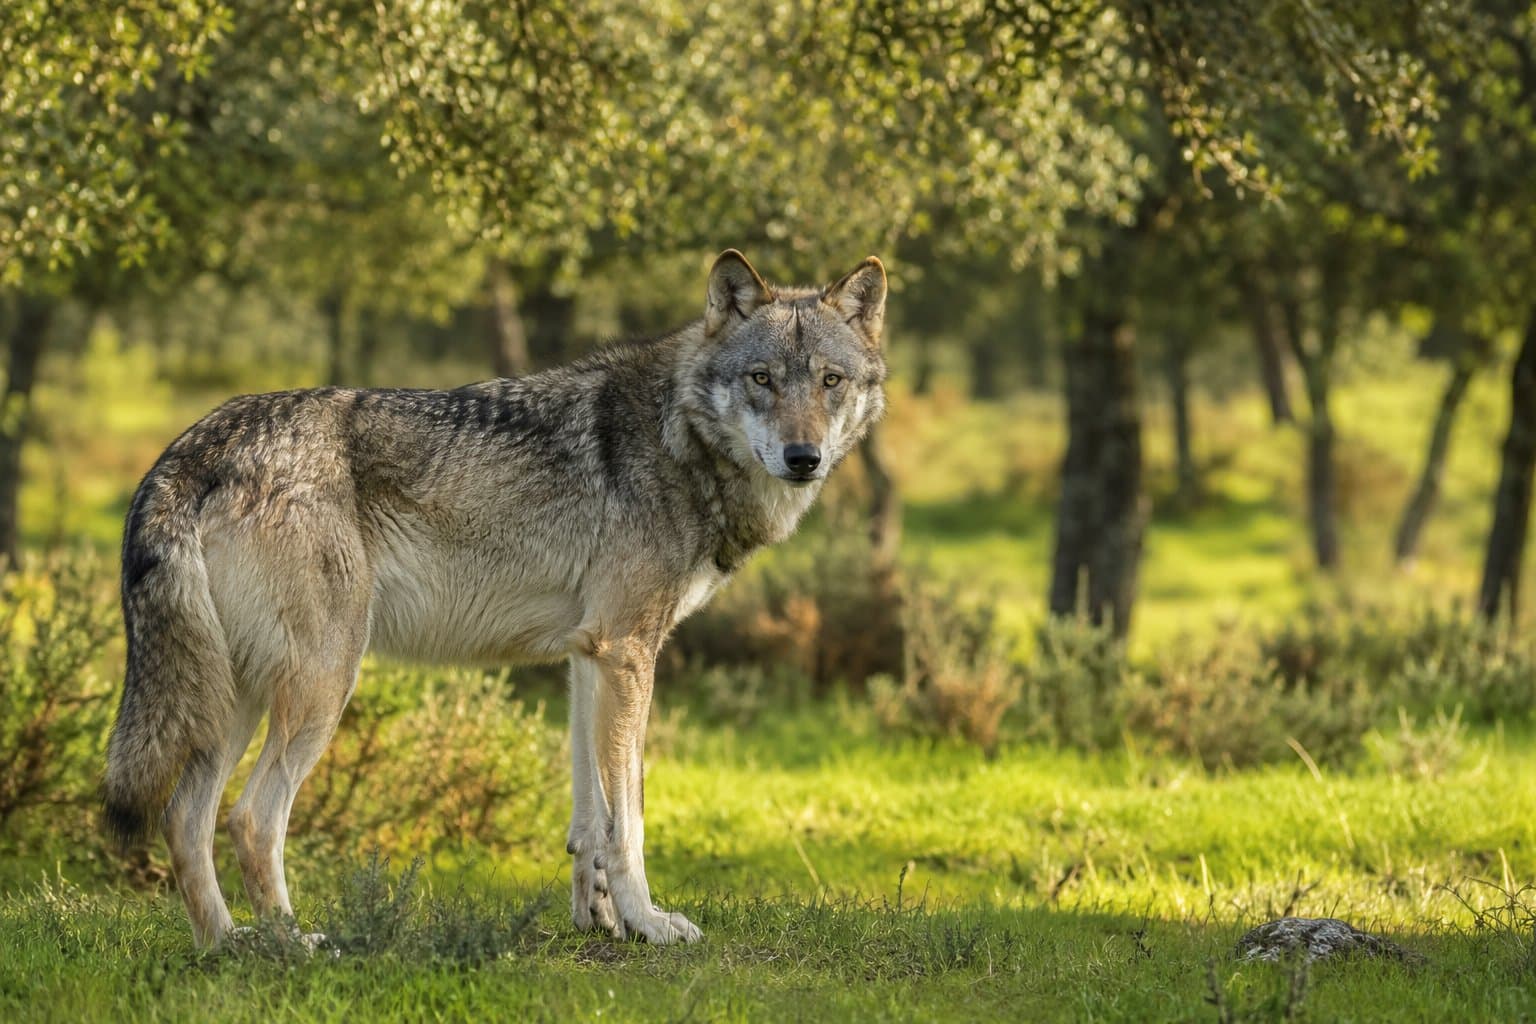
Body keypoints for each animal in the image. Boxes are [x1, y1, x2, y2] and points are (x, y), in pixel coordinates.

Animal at [101, 250, 888, 948]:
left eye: (830, 380)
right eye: (761, 379)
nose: (804, 458)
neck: (679, 435)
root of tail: (190, 447)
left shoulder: (590, 657)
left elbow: (590, 819)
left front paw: (599, 921)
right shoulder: (629, 651)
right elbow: (629, 820)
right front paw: (651, 924)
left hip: (234, 697)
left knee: (184, 818)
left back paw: (226, 945)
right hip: (320, 684)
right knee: (250, 819)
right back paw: (292, 945)